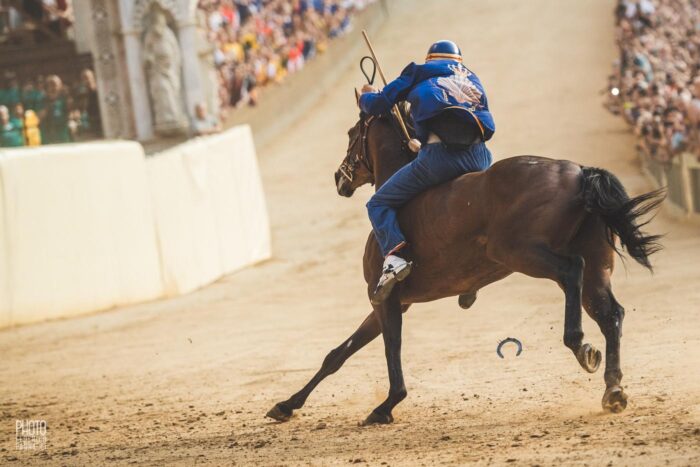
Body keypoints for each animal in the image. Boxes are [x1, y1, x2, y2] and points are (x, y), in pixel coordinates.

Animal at [266, 111, 664, 426]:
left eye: (352, 134)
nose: (339, 178)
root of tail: (579, 172)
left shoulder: (387, 301)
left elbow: (391, 349)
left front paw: (386, 406)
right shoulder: (390, 303)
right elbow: (337, 354)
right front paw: (287, 404)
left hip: (522, 253)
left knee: (571, 273)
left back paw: (578, 344)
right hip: (595, 265)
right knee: (610, 313)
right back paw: (613, 388)